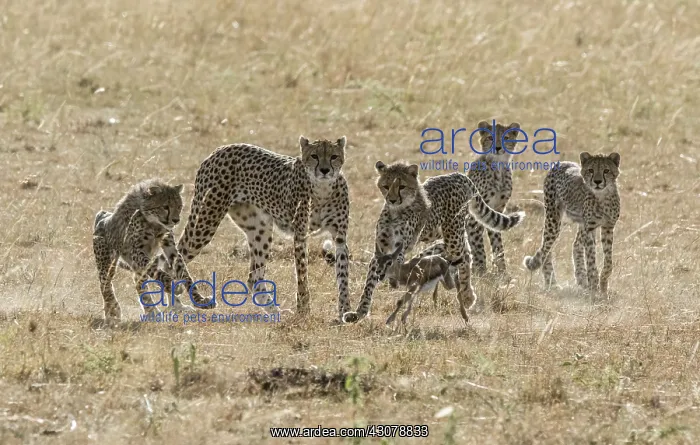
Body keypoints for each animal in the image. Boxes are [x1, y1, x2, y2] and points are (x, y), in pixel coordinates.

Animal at [92, 179, 213, 323]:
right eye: (165, 206)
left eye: (179, 206)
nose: (176, 220)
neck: (153, 223)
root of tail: (102, 215)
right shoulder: (136, 252)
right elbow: (156, 271)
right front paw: (172, 286)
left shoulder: (169, 246)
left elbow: (184, 274)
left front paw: (200, 300)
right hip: (106, 260)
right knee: (105, 284)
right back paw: (113, 311)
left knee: (138, 282)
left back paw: (154, 312)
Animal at [161, 136, 351, 319]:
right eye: (314, 156)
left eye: (334, 156)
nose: (325, 170)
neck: (323, 190)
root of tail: (221, 149)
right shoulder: (300, 236)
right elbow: (302, 276)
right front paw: (304, 310)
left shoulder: (340, 237)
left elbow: (343, 275)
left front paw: (346, 311)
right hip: (205, 223)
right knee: (172, 262)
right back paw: (177, 306)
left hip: (260, 228)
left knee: (254, 279)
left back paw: (275, 312)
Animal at [342, 161, 525, 324]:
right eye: (386, 186)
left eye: (402, 186)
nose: (392, 200)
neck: (396, 212)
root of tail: (457, 175)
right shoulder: (381, 249)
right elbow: (370, 281)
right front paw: (359, 312)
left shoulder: (398, 250)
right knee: (465, 251)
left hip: (453, 234)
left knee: (464, 257)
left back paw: (467, 296)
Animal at [467, 120, 522, 277]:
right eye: (490, 138)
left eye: (506, 138)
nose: (497, 148)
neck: (498, 166)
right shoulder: (472, 217)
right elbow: (477, 246)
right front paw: (480, 272)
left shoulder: (496, 213)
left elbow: (498, 244)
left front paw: (502, 272)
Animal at [523, 151, 621, 293]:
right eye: (591, 170)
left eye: (606, 170)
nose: (597, 182)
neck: (602, 196)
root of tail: (561, 163)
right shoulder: (590, 227)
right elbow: (591, 259)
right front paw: (594, 287)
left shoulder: (608, 227)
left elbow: (608, 262)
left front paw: (603, 286)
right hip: (553, 220)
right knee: (546, 248)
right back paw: (552, 282)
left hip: (580, 223)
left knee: (575, 245)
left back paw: (581, 278)